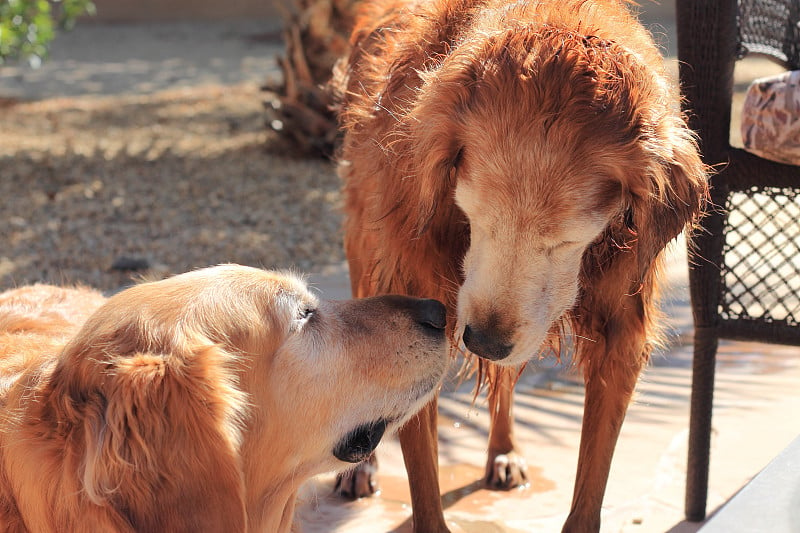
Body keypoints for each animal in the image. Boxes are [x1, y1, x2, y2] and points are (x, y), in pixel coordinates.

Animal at [332, 2, 708, 528]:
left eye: (567, 238)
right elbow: (424, 484)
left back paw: (504, 449)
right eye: (474, 213)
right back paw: (361, 468)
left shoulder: (621, 327)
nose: (483, 341)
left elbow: (591, 485)